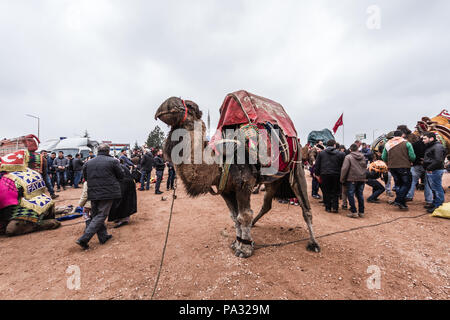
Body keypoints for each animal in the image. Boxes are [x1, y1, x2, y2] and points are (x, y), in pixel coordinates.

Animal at [155, 94, 320, 258]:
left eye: (190, 106)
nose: (166, 104)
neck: (220, 162)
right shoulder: (226, 189)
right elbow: (235, 217)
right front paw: (238, 242)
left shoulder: (244, 184)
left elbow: (244, 215)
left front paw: (244, 249)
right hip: (273, 180)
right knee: (267, 204)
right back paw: (254, 223)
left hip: (296, 166)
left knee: (305, 207)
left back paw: (314, 243)